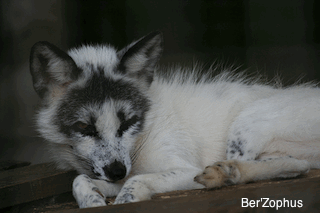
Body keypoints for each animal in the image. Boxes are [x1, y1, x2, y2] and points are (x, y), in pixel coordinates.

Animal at [30, 31, 320, 208]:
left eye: (128, 122)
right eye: (85, 127)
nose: (117, 171)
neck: (146, 130)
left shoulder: (185, 169)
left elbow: (136, 182)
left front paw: (127, 199)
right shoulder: (120, 171)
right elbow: (79, 180)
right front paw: (92, 201)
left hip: (245, 126)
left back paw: (223, 174)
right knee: (298, 166)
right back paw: (226, 173)